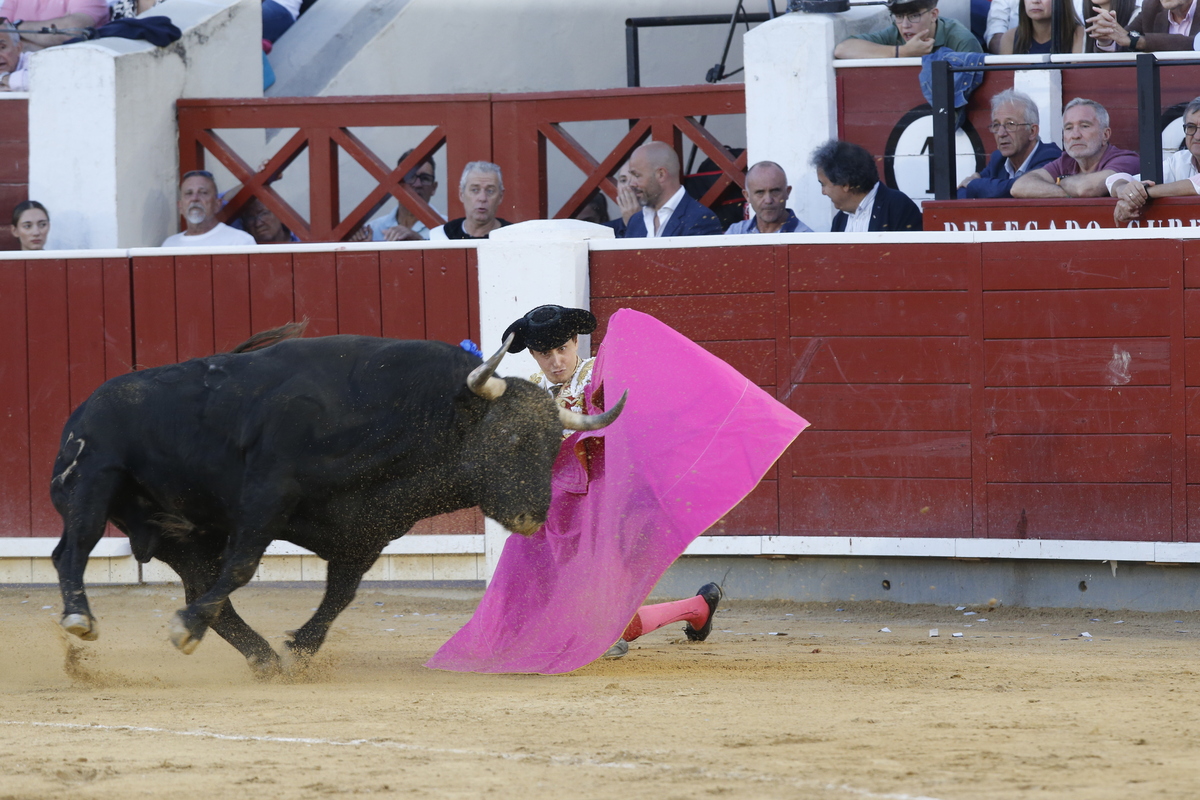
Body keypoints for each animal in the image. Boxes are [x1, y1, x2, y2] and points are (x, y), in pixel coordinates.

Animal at [50, 326, 624, 676]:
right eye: (507, 439)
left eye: (553, 447)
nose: (533, 517)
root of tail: (82, 408)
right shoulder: (265, 498)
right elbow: (243, 567)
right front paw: (186, 627)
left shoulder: (366, 531)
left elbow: (340, 595)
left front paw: (300, 651)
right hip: (93, 481)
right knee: (71, 550)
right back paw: (82, 618)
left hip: (184, 532)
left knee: (204, 589)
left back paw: (263, 660)